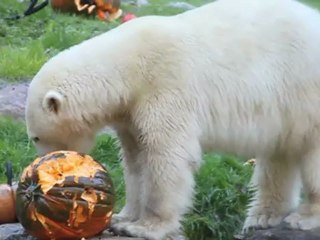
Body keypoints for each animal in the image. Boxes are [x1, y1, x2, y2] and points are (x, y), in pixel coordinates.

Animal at [25, 0, 320, 239]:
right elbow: (135, 161)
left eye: (36, 136)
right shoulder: (130, 113)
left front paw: (144, 227)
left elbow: (166, 156)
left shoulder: (165, 86)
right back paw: (263, 216)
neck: (129, 66)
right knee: (279, 155)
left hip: (305, 89)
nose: (41, 166)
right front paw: (123, 217)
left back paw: (303, 217)